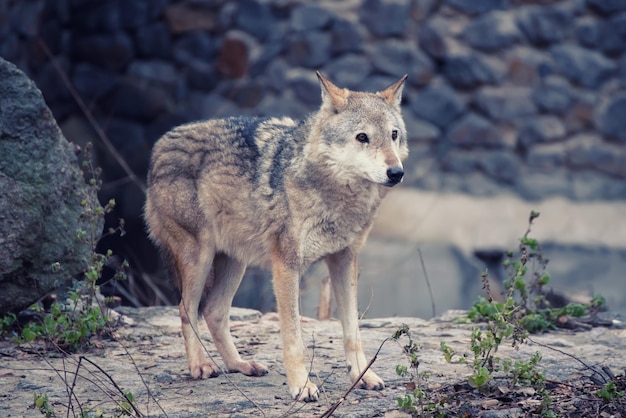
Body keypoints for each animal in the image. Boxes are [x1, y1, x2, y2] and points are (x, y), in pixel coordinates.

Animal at [145, 72, 410, 402]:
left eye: (393, 135)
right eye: (362, 137)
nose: (396, 172)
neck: (336, 195)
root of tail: (160, 143)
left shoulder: (345, 260)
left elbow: (353, 331)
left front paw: (363, 377)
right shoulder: (286, 265)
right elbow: (293, 336)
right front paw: (302, 386)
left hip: (235, 262)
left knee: (214, 311)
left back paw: (240, 365)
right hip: (199, 258)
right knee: (187, 309)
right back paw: (200, 366)